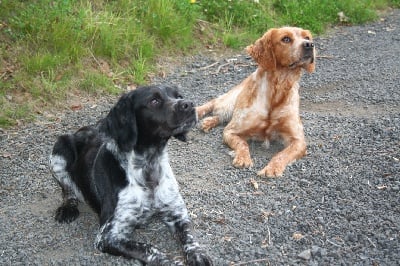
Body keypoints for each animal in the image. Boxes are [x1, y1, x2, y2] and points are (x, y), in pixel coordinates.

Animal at [49, 84, 212, 264]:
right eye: (154, 101)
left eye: (178, 96)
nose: (189, 104)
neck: (149, 167)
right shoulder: (108, 235)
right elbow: (149, 248)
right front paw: (171, 262)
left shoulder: (177, 213)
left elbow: (190, 236)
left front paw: (199, 255)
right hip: (59, 150)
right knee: (67, 189)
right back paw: (67, 208)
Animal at [197, 27, 316, 177]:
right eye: (286, 39)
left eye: (307, 37)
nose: (309, 45)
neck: (278, 90)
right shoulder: (231, 131)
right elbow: (243, 144)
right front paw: (243, 159)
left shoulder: (298, 140)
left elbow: (282, 154)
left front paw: (272, 168)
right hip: (229, 102)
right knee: (215, 104)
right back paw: (203, 118)